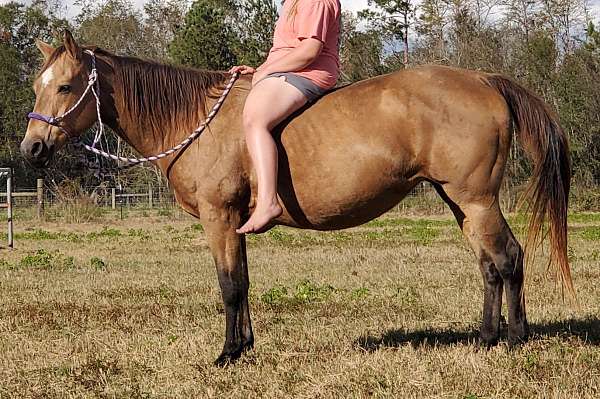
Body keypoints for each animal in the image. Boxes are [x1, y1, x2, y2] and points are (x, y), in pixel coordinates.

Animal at [19, 32, 572, 368]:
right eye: (37, 84)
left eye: (65, 86)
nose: (31, 148)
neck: (194, 119)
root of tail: (483, 80)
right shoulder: (234, 224)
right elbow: (243, 282)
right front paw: (244, 348)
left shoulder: (219, 219)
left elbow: (229, 286)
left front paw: (227, 356)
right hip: (460, 202)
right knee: (489, 265)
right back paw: (486, 338)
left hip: (475, 200)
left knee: (507, 257)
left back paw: (515, 340)